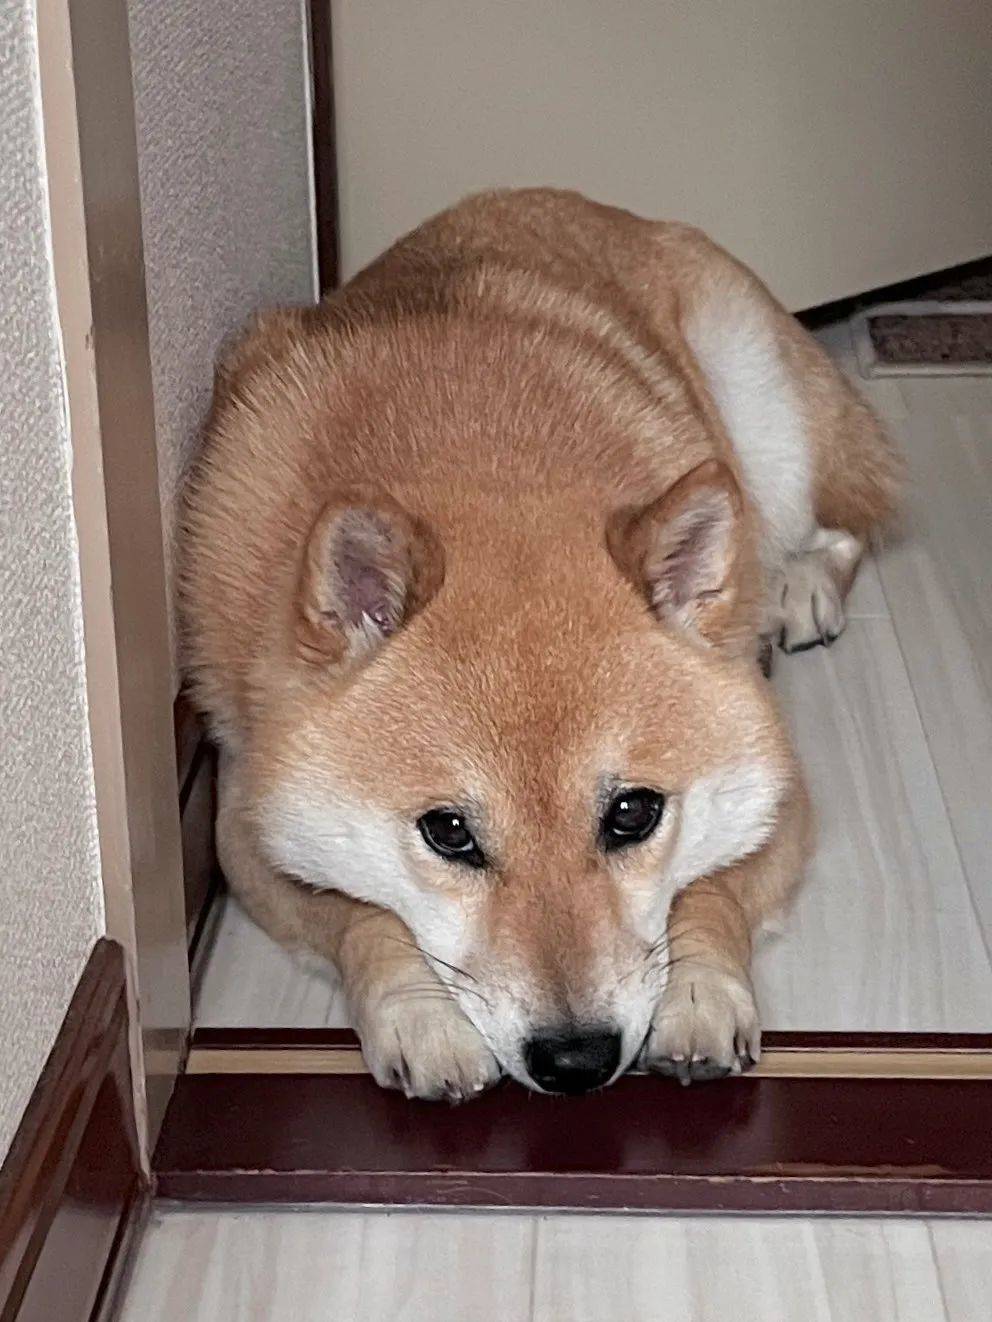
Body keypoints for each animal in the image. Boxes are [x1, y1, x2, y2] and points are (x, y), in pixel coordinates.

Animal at [183, 188, 901, 1099]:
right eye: (448, 833)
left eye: (633, 813)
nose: (576, 1058)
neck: (473, 459)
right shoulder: (244, 824)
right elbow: (362, 910)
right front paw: (421, 1012)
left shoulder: (781, 797)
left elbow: (708, 894)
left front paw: (699, 988)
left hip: (764, 416)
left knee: (839, 523)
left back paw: (796, 586)